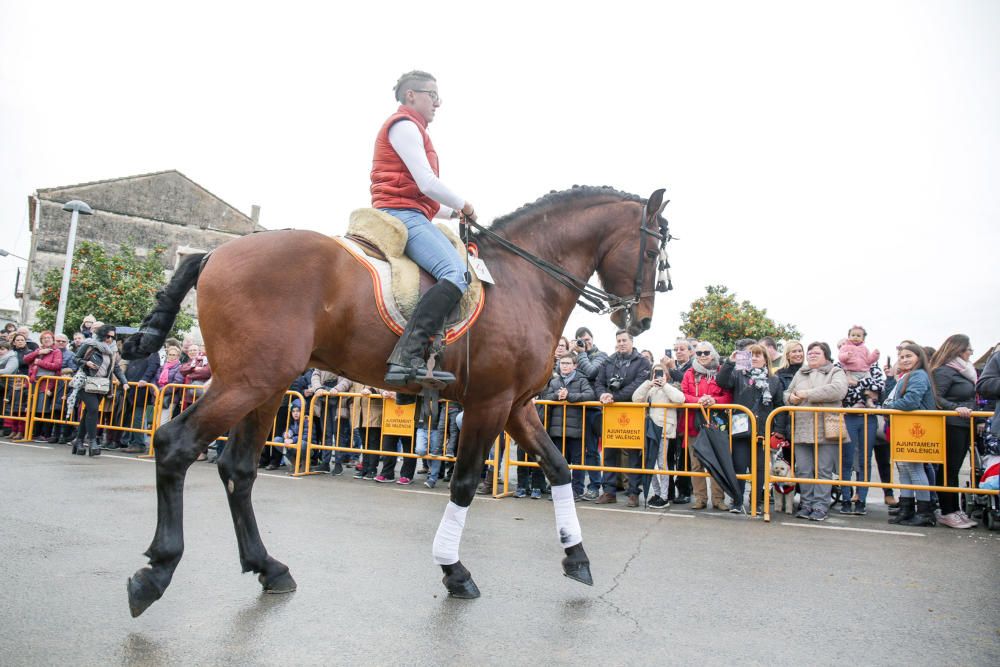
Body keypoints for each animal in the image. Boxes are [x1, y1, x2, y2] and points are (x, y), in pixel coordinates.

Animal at [123, 185, 672, 620]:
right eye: (652, 253)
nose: (643, 320)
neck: (523, 281)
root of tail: (216, 254)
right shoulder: (491, 403)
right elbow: (465, 484)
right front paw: (454, 571)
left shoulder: (518, 406)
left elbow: (559, 467)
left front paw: (576, 557)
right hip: (247, 381)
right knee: (175, 445)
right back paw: (156, 571)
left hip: (267, 386)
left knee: (238, 469)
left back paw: (268, 567)